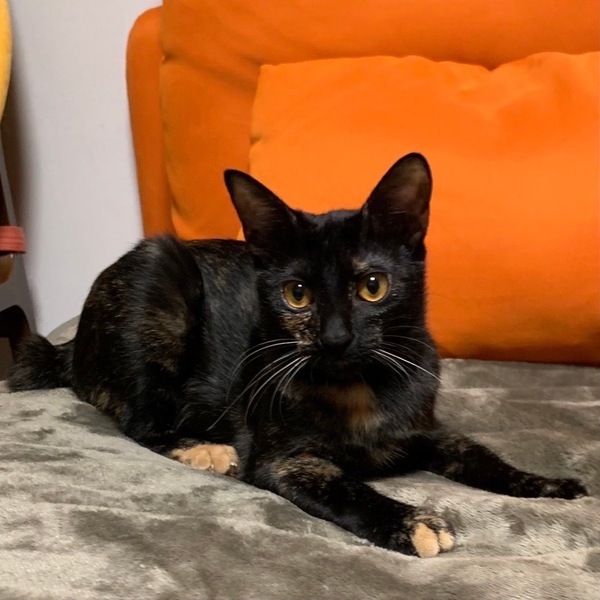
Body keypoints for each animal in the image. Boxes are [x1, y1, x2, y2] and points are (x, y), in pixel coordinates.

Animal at [8, 153, 588, 558]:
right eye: (297, 294)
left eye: (373, 286)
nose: (335, 337)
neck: (359, 388)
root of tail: (71, 347)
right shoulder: (285, 459)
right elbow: (345, 487)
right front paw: (412, 522)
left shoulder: (427, 427)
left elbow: (480, 455)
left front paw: (547, 485)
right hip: (157, 281)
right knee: (138, 420)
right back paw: (203, 449)